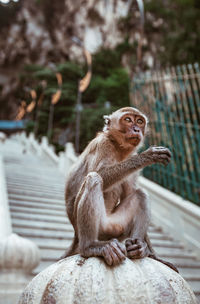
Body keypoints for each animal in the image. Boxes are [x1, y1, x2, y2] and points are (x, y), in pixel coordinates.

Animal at [63, 107, 178, 274]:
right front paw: (147, 156)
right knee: (93, 178)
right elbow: (101, 173)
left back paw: (138, 247)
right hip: (98, 227)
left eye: (139, 121)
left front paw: (152, 254)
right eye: (128, 120)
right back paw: (90, 247)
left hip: (116, 228)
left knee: (140, 194)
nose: (137, 129)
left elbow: (129, 193)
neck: (118, 147)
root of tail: (76, 236)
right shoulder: (103, 145)